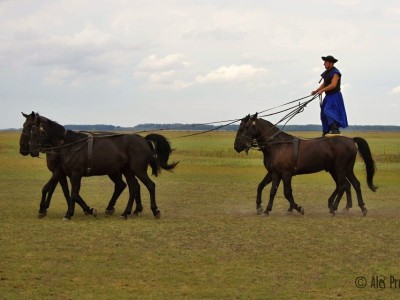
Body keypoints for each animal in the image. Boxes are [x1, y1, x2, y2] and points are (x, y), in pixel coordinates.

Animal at [28, 115, 178, 220]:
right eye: (28, 130)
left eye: (34, 132)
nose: (31, 151)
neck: (71, 145)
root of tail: (143, 140)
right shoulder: (65, 173)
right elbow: (70, 193)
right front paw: (84, 210)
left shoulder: (75, 174)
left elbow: (74, 193)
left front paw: (70, 213)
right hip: (127, 171)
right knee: (133, 187)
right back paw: (126, 212)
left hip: (138, 170)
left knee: (149, 185)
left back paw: (155, 210)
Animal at [233, 113, 376, 216]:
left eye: (244, 127)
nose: (236, 146)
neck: (278, 145)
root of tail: (351, 140)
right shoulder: (275, 173)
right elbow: (269, 189)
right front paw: (265, 209)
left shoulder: (286, 173)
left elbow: (287, 192)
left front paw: (297, 208)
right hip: (344, 169)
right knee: (354, 184)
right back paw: (360, 207)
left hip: (339, 168)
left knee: (342, 185)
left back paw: (334, 208)